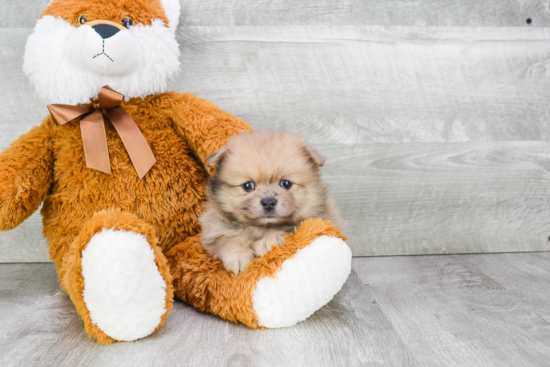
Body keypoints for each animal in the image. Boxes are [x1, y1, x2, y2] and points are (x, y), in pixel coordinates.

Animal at [198, 131, 344, 274]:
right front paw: (238, 255)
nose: (268, 202)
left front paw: (268, 241)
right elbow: (226, 239)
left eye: (286, 183)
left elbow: (285, 229)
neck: (261, 227)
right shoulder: (214, 227)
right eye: (248, 186)